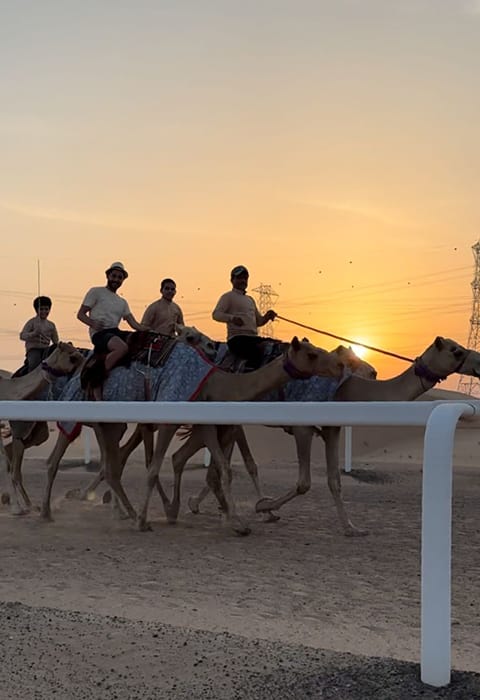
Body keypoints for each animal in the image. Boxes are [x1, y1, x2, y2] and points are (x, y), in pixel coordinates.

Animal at [166, 334, 480, 536]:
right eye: (455, 350)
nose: (477, 361)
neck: (347, 390)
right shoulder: (304, 428)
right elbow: (304, 482)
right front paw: (264, 505)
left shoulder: (332, 429)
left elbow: (334, 481)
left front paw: (352, 528)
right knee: (200, 459)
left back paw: (204, 507)